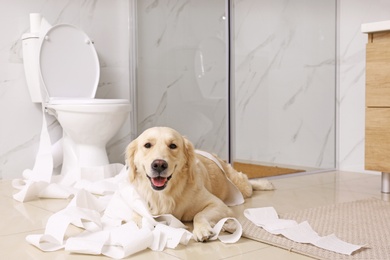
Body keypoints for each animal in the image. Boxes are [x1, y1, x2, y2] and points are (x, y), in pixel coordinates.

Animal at [126, 126, 272, 242]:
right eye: (147, 145)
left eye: (173, 146)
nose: (159, 165)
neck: (167, 193)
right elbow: (136, 216)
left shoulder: (218, 205)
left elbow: (199, 214)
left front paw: (202, 230)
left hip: (240, 185)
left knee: (247, 181)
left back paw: (265, 183)